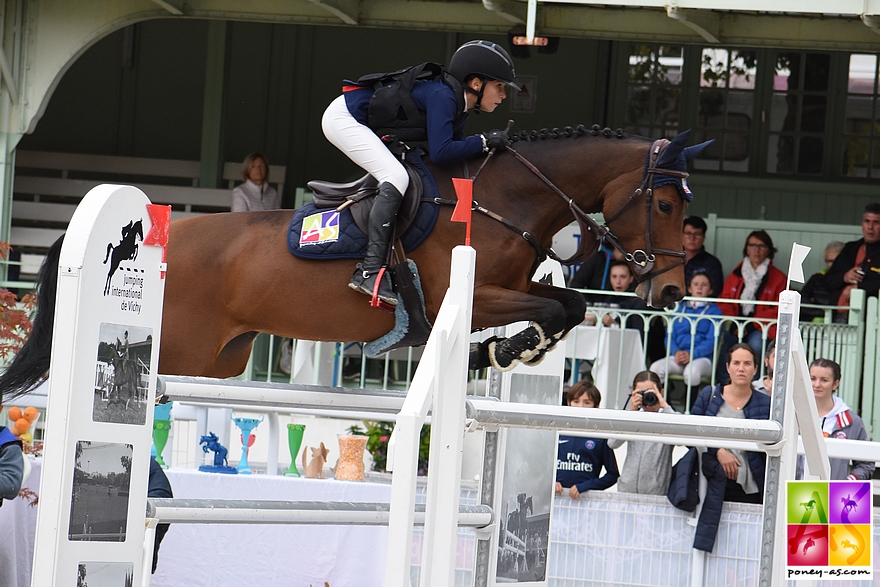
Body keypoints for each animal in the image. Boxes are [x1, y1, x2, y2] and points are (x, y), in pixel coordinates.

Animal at [0, 127, 708, 404]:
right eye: (665, 202)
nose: (674, 292)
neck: (505, 201)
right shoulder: (465, 297)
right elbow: (556, 305)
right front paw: (504, 349)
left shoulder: (510, 286)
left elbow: (571, 303)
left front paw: (507, 352)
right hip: (176, 346)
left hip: (218, 358)